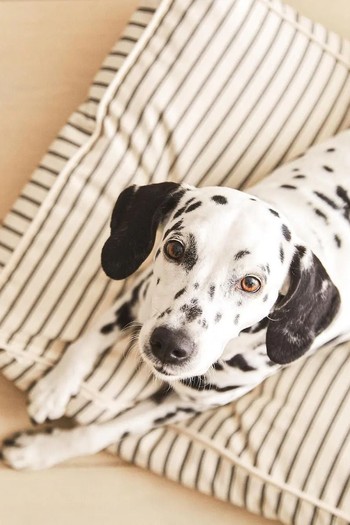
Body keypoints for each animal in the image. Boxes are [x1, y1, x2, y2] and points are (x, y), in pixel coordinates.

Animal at [2, 137, 350, 468]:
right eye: (174, 248)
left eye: (251, 283)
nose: (170, 344)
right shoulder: (138, 296)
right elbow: (88, 341)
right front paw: (54, 388)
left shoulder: (186, 405)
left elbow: (102, 433)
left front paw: (41, 450)